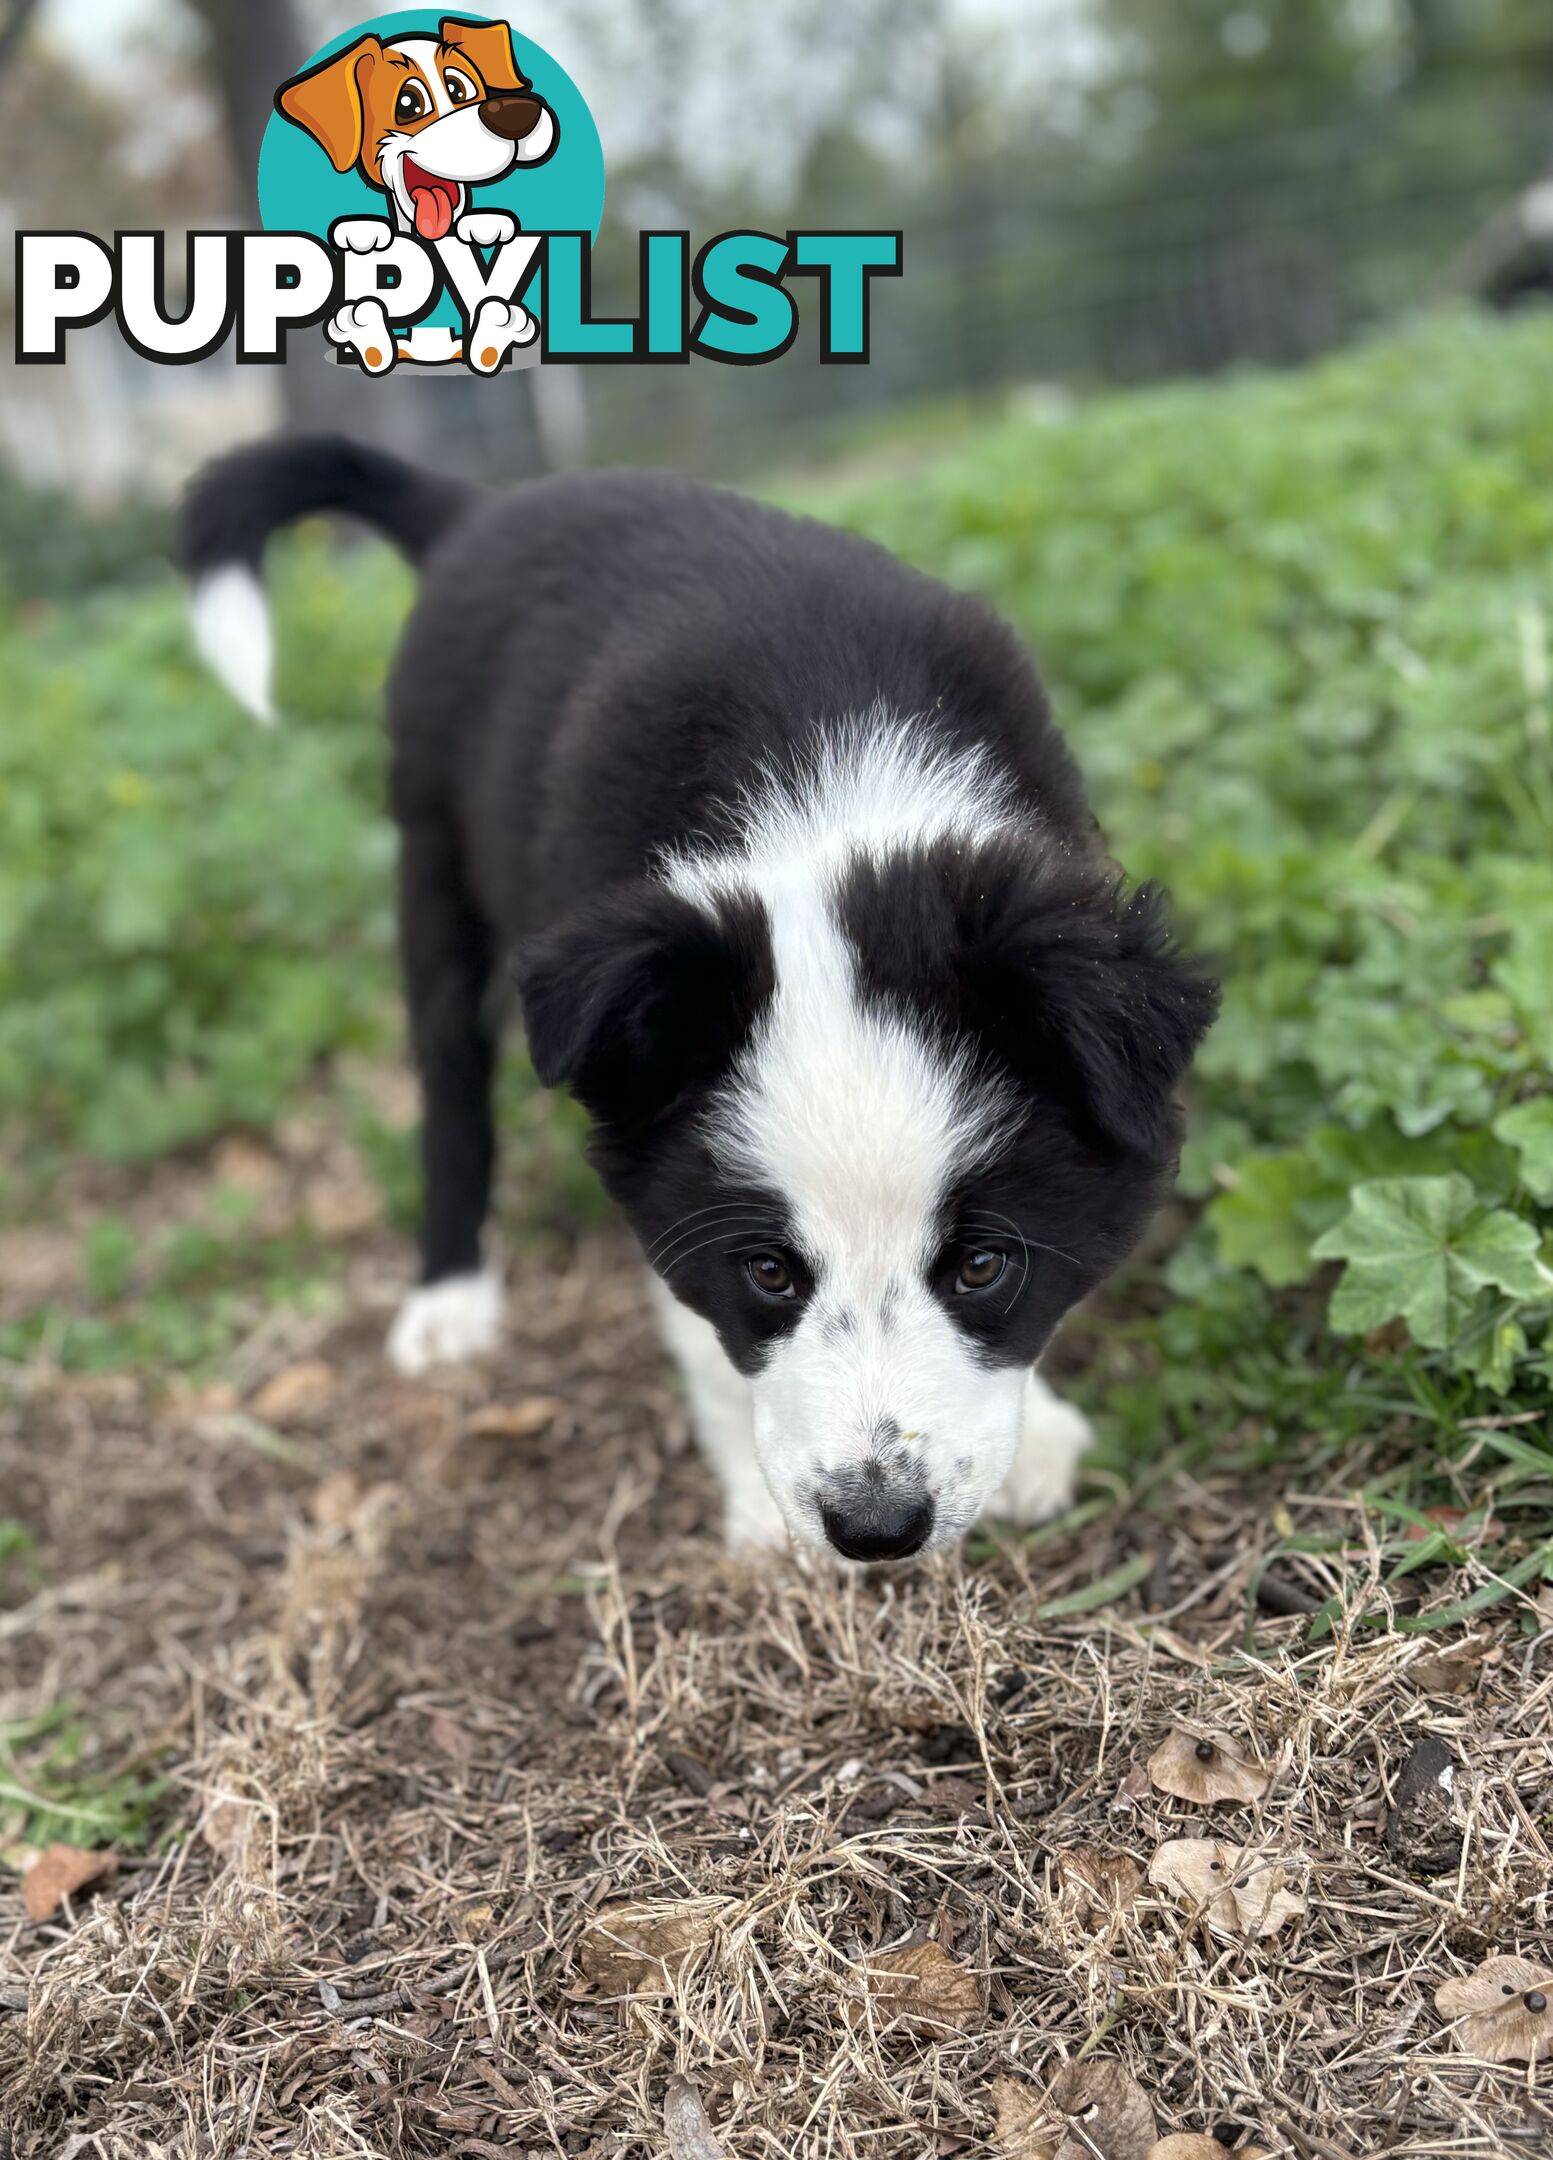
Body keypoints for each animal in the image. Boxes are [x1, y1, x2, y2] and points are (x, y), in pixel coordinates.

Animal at [185, 438, 1218, 1563]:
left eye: (982, 1266)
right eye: (766, 1274)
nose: (875, 1532)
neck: (832, 808)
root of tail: (482, 510)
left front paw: (1036, 1445)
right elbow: (697, 1327)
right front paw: (766, 1526)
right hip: (431, 860)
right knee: (450, 1084)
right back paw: (450, 1299)